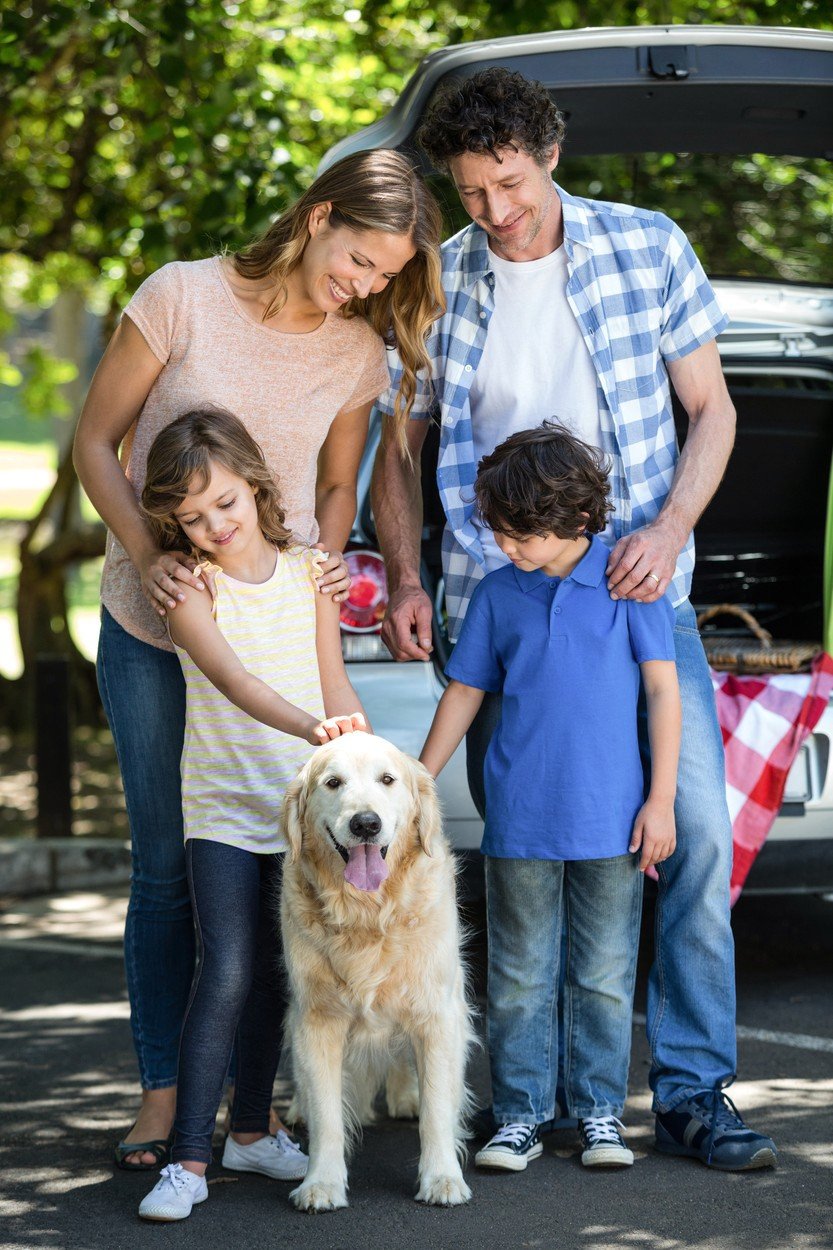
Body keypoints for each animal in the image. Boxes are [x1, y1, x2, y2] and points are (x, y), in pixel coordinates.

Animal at [278, 730, 472, 1210]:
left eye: (387, 779)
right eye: (333, 782)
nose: (365, 823)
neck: (367, 915)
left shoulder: (437, 1013)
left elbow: (438, 1107)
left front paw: (442, 1177)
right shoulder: (316, 1019)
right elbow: (327, 1111)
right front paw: (322, 1182)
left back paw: (406, 1096)